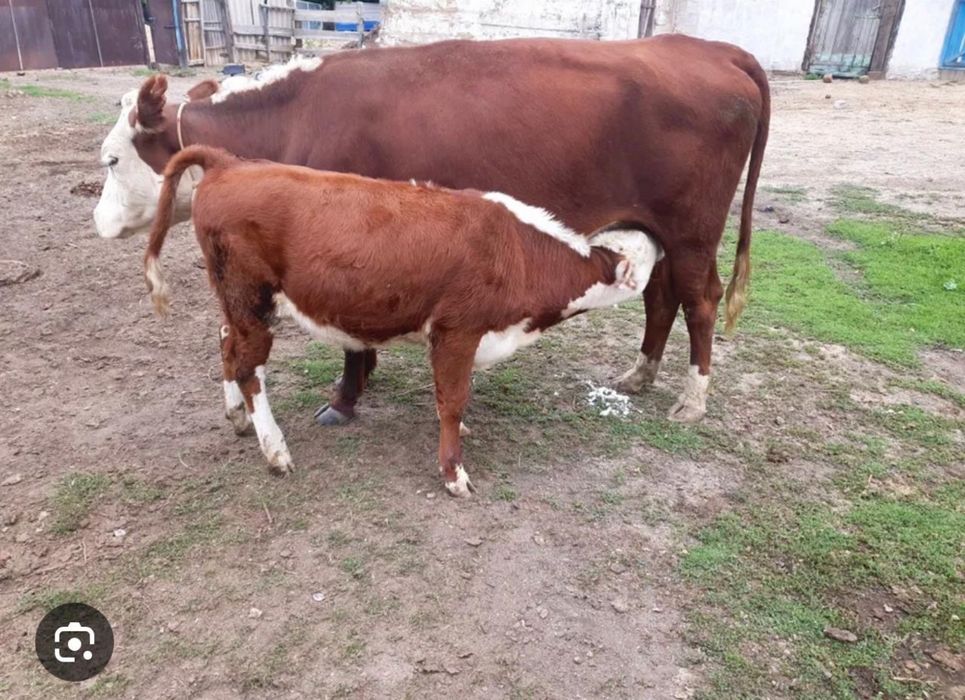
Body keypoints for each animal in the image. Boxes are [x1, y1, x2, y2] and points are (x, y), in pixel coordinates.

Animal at [95, 35, 770, 426]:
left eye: (111, 159)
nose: (97, 221)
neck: (298, 115)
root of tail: (709, 47)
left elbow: (351, 340)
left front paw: (345, 398)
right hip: (653, 225)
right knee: (661, 297)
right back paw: (641, 375)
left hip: (692, 229)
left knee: (700, 301)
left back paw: (692, 399)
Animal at [144, 145, 663, 496]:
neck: (515, 250)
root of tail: (230, 163)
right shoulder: (457, 330)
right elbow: (452, 400)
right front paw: (454, 472)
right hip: (250, 298)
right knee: (248, 365)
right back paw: (275, 451)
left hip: (235, 301)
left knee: (227, 343)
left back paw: (236, 417)